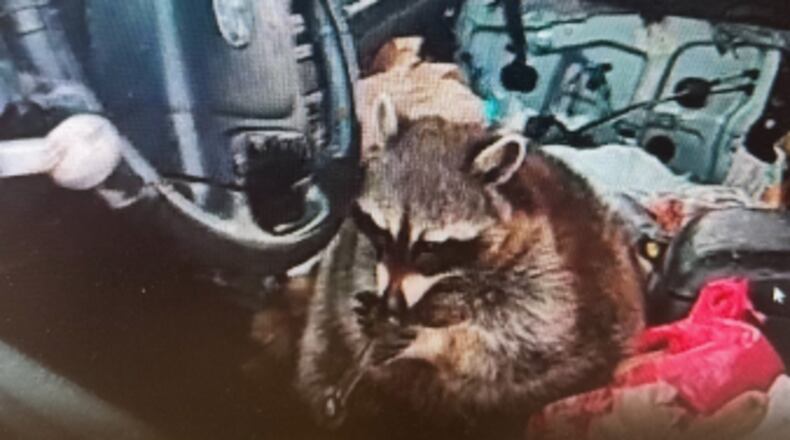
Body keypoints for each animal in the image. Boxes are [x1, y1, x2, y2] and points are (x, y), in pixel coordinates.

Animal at [294, 94, 645, 439]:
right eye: (381, 230)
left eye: (430, 247)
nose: (392, 305)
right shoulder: (358, 250)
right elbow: (356, 277)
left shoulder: (547, 268)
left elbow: (519, 343)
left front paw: (433, 341)